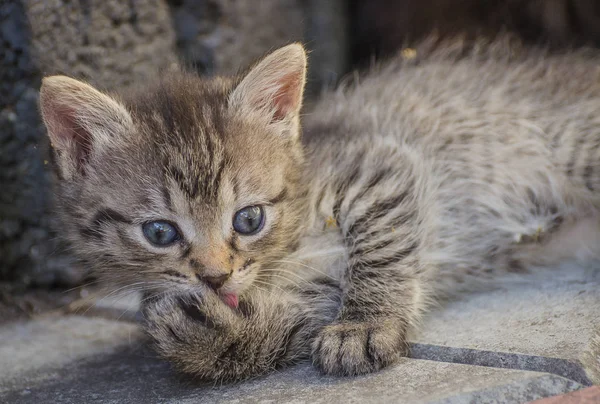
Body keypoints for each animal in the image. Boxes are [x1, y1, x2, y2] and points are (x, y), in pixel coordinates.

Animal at [39, 38, 600, 382]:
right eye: (160, 232)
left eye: (248, 219)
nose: (215, 278)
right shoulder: (303, 293)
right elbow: (287, 324)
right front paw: (213, 339)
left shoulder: (380, 166)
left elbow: (380, 249)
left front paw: (363, 326)